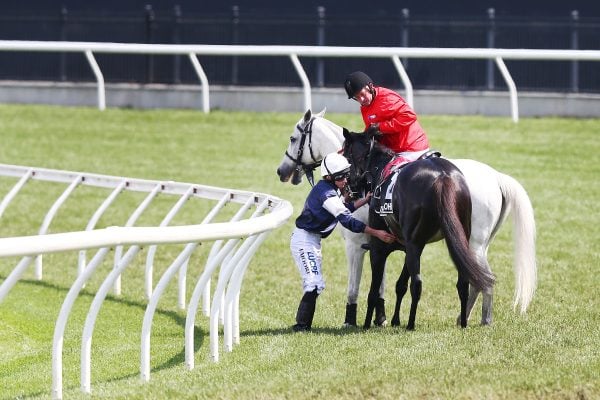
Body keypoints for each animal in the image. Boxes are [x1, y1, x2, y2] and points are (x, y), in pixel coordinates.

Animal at [276, 108, 536, 326]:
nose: (281, 171)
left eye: (292, 138)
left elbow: (358, 288)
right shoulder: (389, 245)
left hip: (473, 244)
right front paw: (382, 318)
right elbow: (387, 285)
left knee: (484, 279)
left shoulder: (358, 245)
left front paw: (353, 320)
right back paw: (468, 318)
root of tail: (496, 177)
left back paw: (481, 319)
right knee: (477, 278)